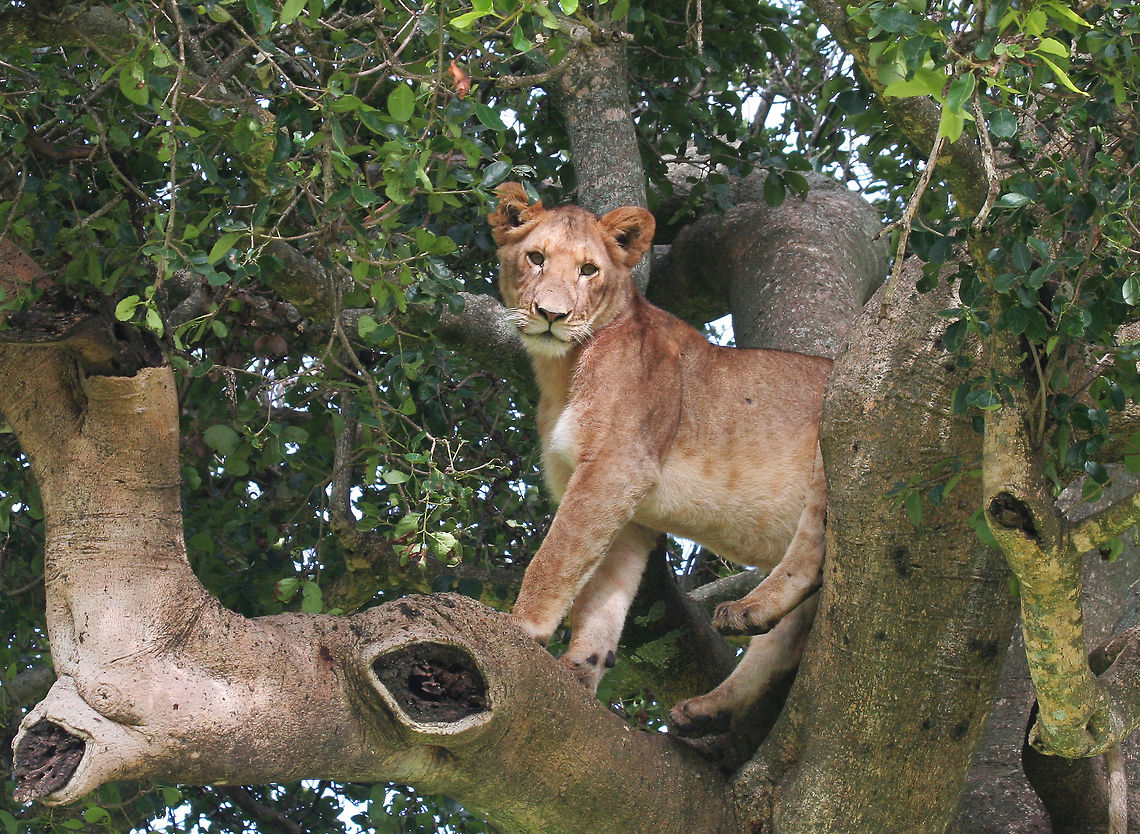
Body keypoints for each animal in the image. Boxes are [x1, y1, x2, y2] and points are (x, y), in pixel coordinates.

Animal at [488, 182, 831, 734]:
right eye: (535, 258)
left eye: (589, 270)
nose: (551, 315)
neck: (561, 370)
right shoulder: (627, 510)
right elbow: (602, 598)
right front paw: (578, 673)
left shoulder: (617, 467)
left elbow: (556, 558)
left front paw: (521, 628)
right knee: (791, 632)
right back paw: (707, 709)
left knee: (811, 549)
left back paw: (747, 611)